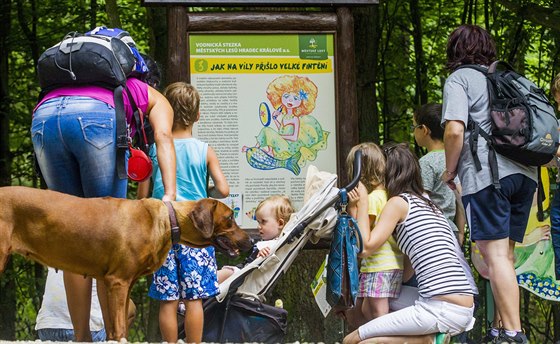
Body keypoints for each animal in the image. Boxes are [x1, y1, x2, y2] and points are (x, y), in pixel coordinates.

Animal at [0, 187, 252, 340]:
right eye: (230, 218)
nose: (250, 241)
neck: (166, 221)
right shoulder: (118, 282)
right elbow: (120, 326)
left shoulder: (124, 284)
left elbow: (115, 326)